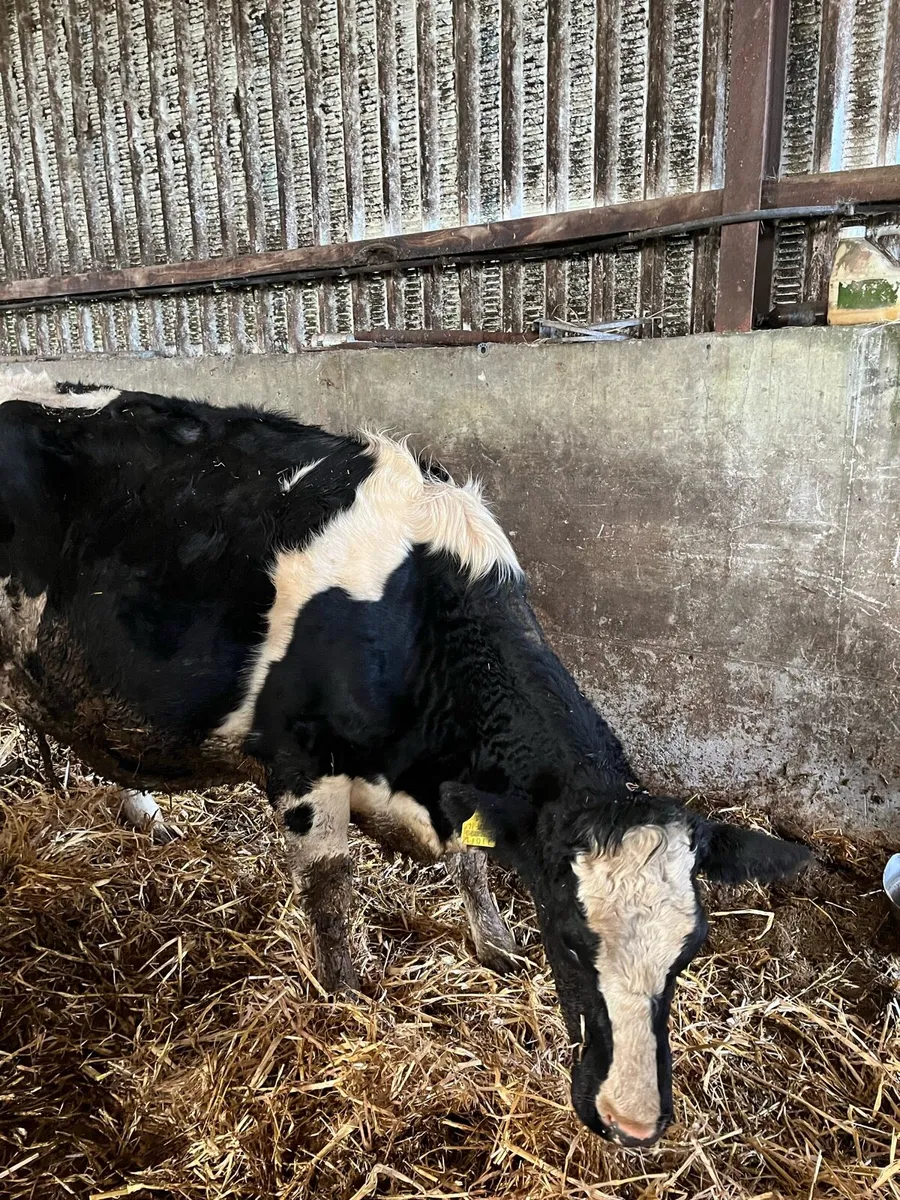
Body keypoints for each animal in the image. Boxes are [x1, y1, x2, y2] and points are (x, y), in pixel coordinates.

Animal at [0, 372, 811, 1147]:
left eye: (688, 953)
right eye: (571, 942)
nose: (633, 1124)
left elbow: (471, 859)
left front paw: (496, 948)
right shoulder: (302, 761)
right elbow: (331, 889)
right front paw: (346, 999)